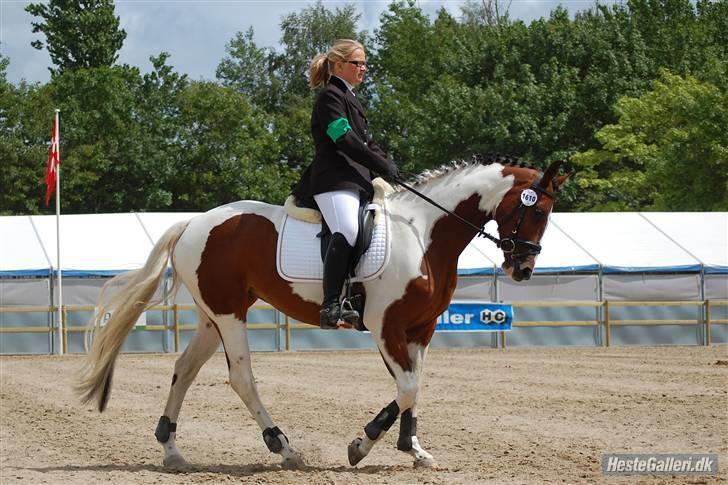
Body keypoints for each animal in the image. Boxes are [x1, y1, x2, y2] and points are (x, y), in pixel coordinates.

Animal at [78, 157, 568, 466]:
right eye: (537, 211)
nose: (523, 269)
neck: (424, 234)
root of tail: (192, 223)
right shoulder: (385, 326)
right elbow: (408, 387)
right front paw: (361, 445)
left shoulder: (420, 328)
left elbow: (414, 387)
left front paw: (412, 448)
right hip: (230, 316)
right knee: (241, 378)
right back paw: (284, 448)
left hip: (213, 315)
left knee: (184, 369)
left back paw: (173, 452)